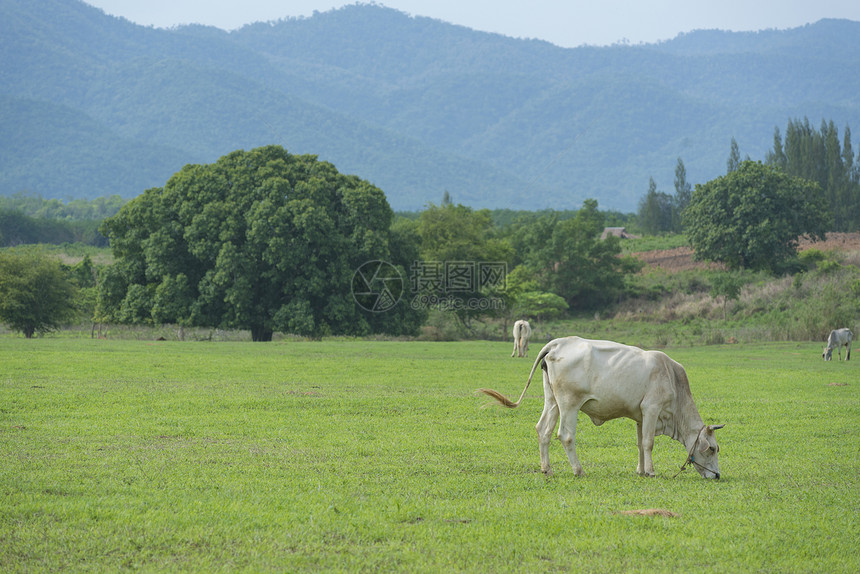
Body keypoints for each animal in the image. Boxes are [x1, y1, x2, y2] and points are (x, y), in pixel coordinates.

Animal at [480, 338, 724, 482]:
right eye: (712, 448)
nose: (717, 475)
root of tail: (557, 344)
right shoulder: (652, 409)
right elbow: (648, 443)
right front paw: (651, 471)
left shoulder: (640, 416)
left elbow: (640, 443)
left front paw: (640, 470)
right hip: (569, 404)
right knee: (565, 435)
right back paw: (578, 470)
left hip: (552, 401)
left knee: (543, 431)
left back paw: (547, 469)